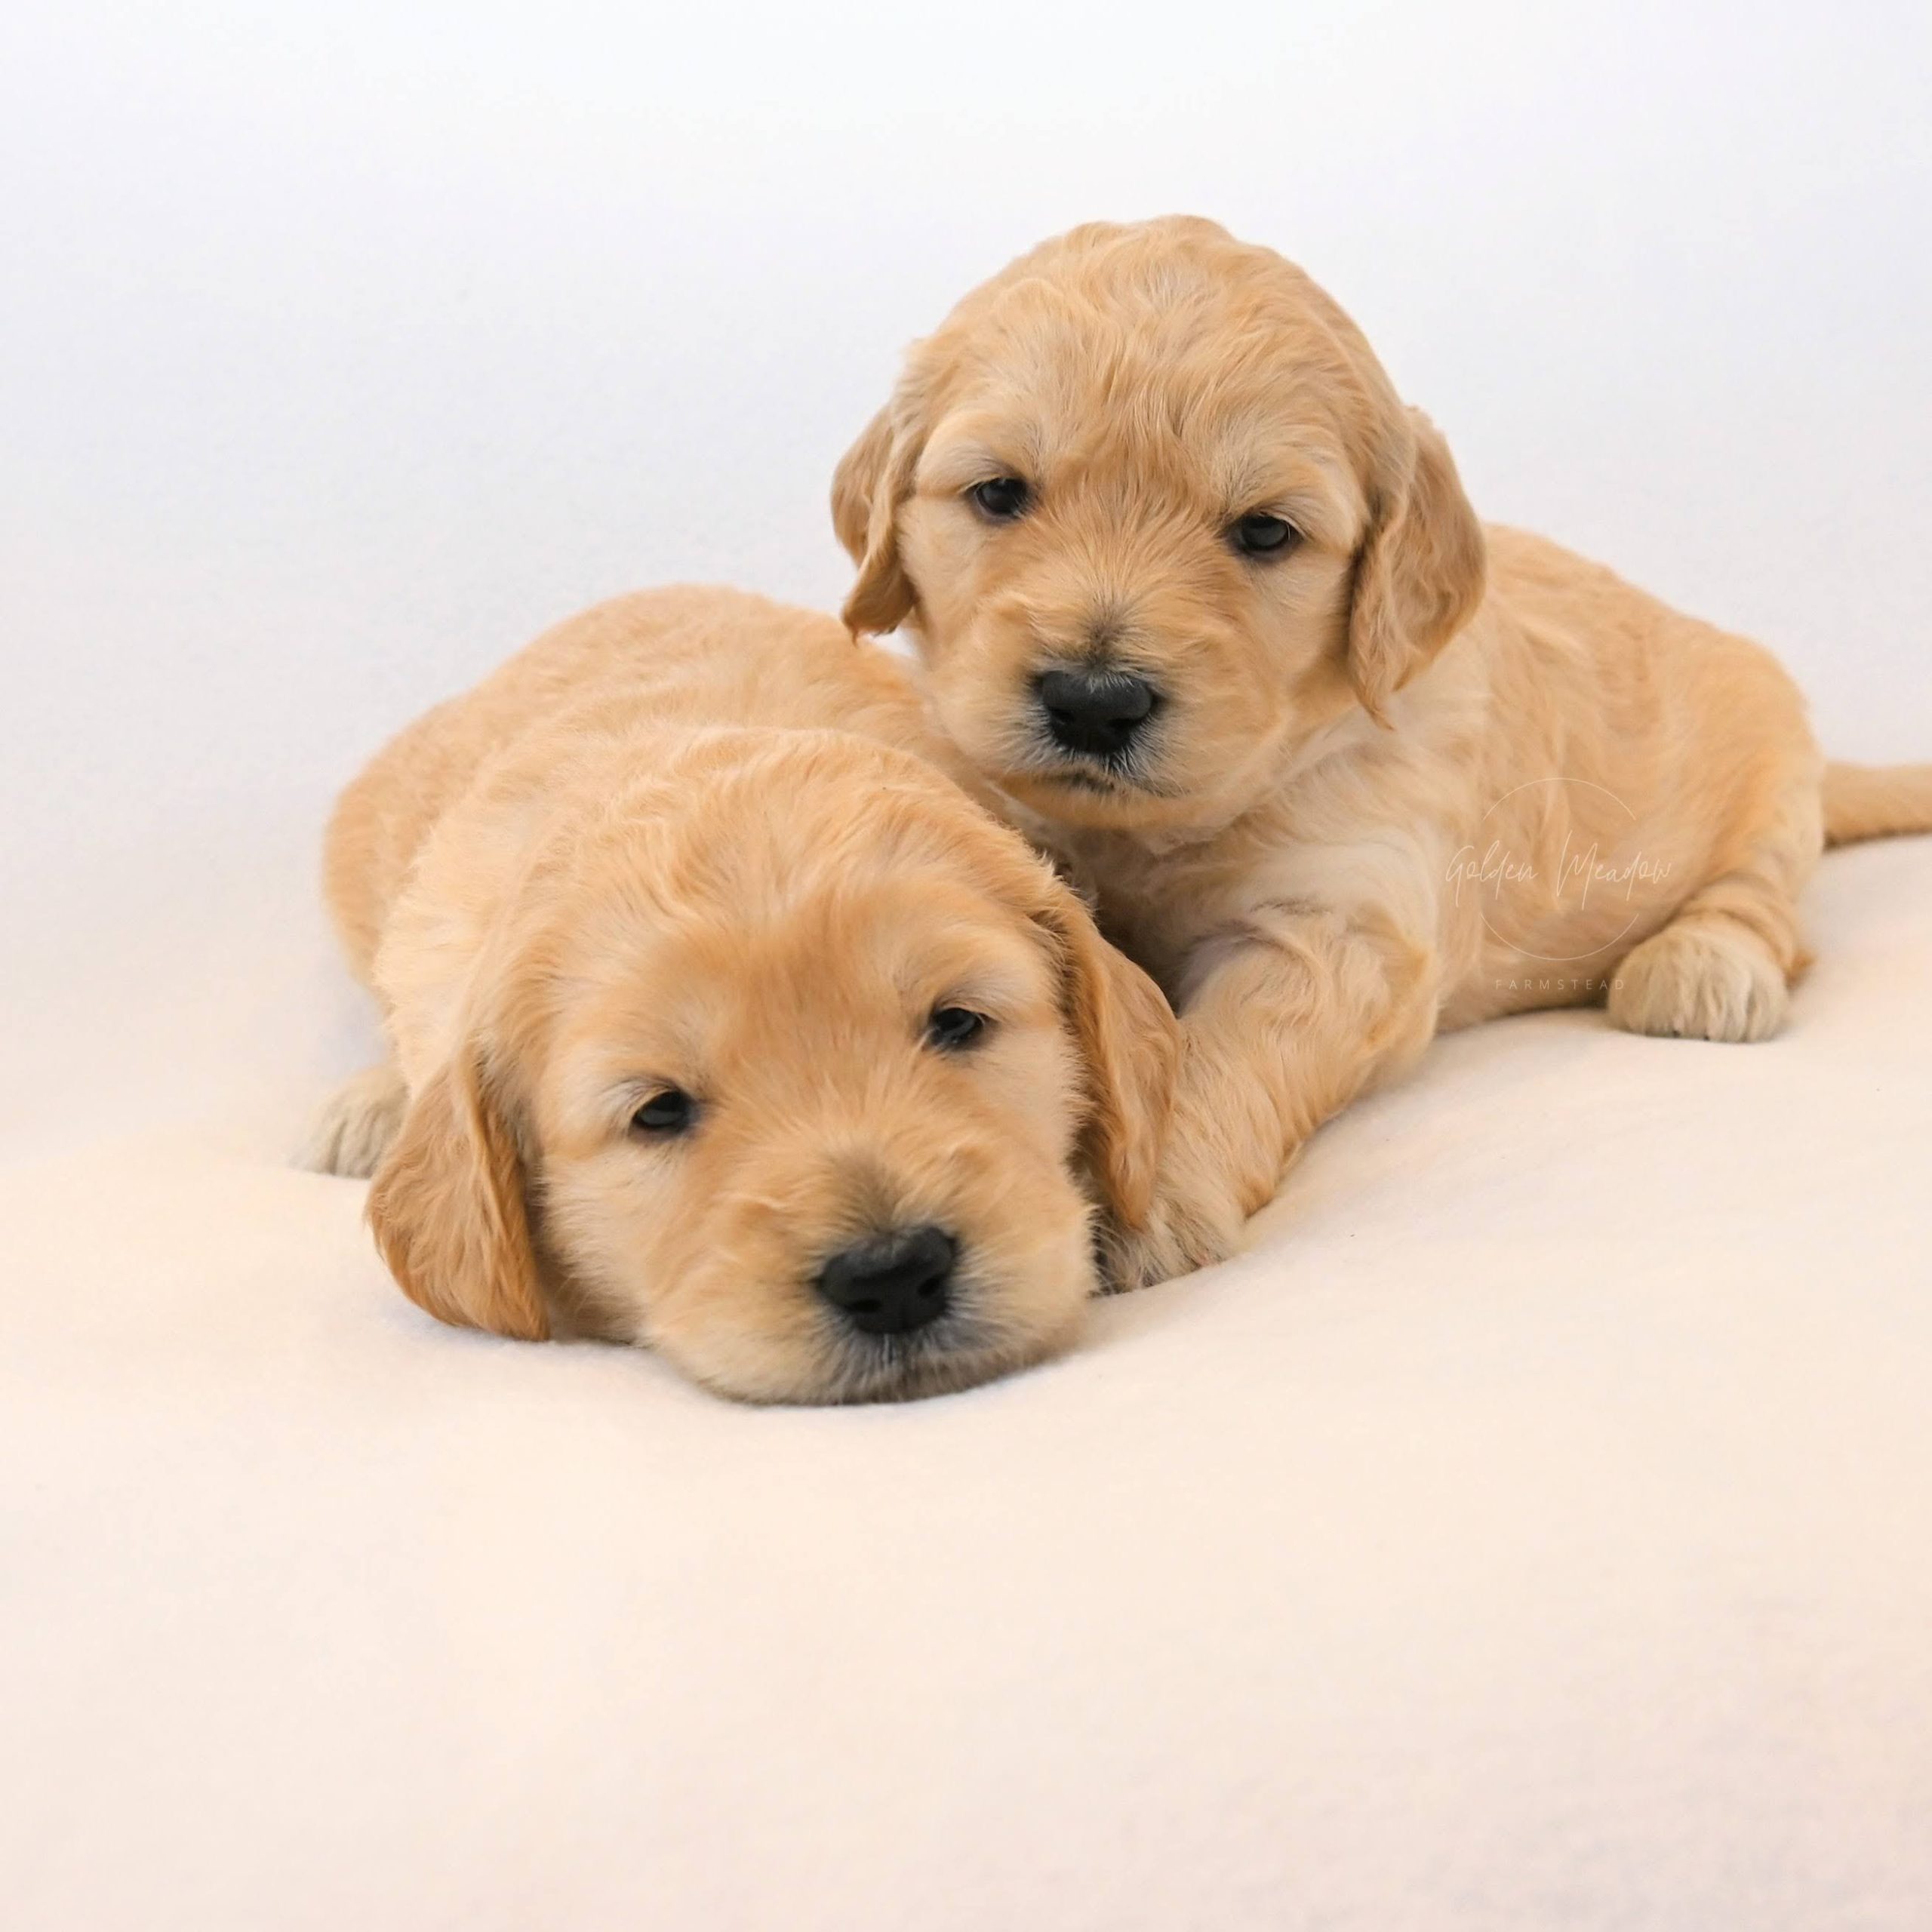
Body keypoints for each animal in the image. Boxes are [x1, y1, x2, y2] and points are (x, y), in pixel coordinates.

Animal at [834, 215, 1932, 1282]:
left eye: (1265, 534)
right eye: (999, 494)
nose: (1094, 702)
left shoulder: (1343, 921)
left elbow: (1223, 1043)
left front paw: (1149, 1188)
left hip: (1771, 763)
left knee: (1764, 897)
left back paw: (1704, 964)